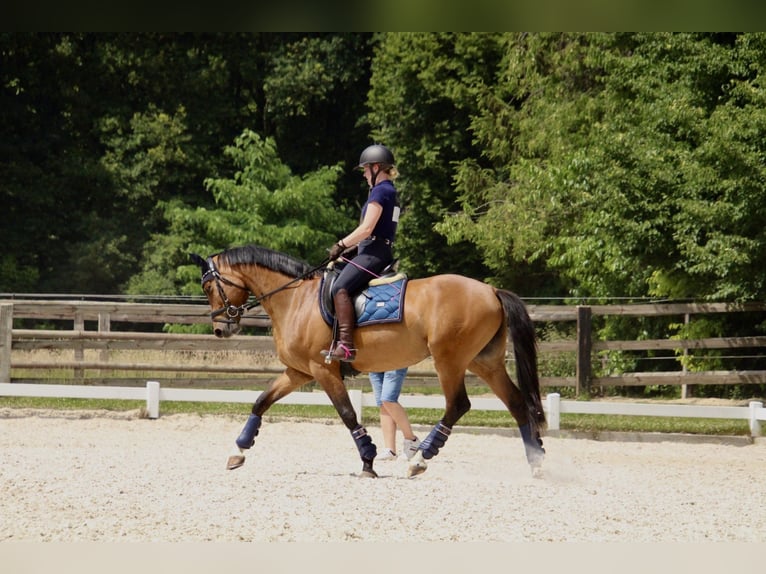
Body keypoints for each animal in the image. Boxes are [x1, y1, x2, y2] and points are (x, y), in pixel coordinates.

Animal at [194, 245, 552, 480]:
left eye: (210, 285)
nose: (220, 329)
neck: (296, 298)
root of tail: (491, 290)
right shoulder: (298, 371)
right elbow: (261, 401)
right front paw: (239, 450)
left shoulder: (324, 369)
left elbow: (347, 414)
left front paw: (368, 461)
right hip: (484, 362)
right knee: (516, 403)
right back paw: (536, 460)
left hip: (449, 360)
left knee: (458, 405)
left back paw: (420, 459)